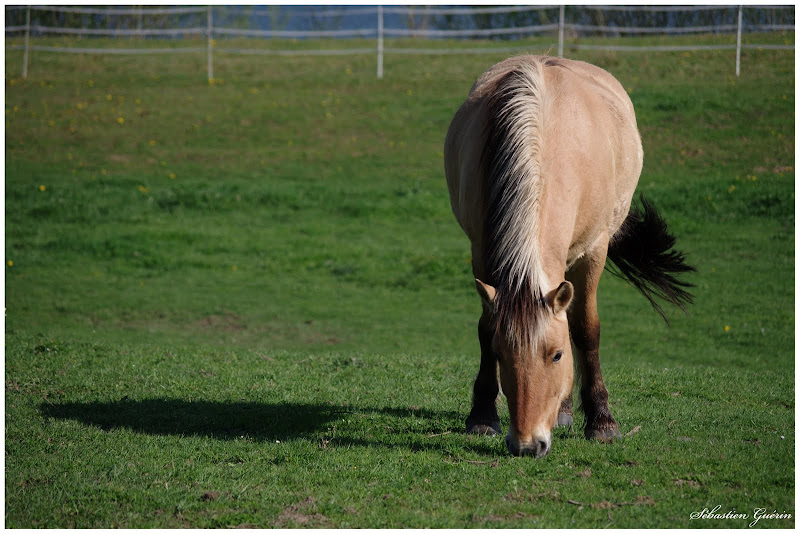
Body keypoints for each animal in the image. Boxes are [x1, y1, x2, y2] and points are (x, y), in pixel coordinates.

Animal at [444, 57, 692, 460]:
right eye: (501, 353)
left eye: (558, 355)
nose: (528, 444)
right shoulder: (480, 249)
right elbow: (485, 326)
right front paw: (482, 415)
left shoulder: (593, 251)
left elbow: (586, 329)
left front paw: (602, 421)